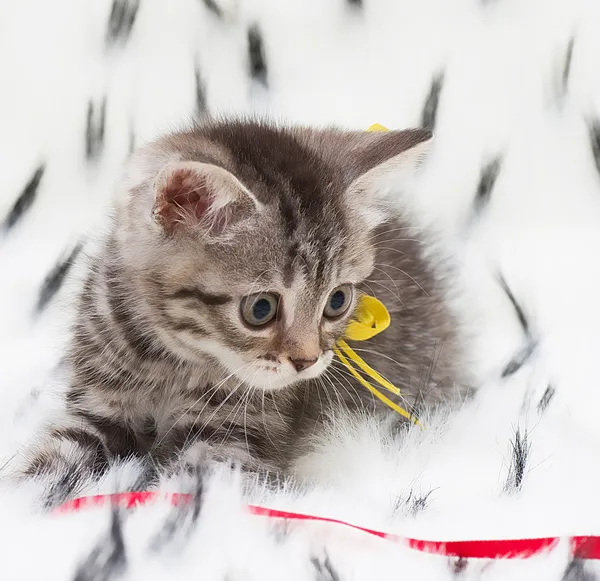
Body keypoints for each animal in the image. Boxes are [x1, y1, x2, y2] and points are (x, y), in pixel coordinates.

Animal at [14, 119, 464, 498]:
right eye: (261, 309)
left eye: (337, 301)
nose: (308, 361)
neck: (171, 361)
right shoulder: (96, 405)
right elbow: (50, 463)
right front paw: (27, 503)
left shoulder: (230, 443)